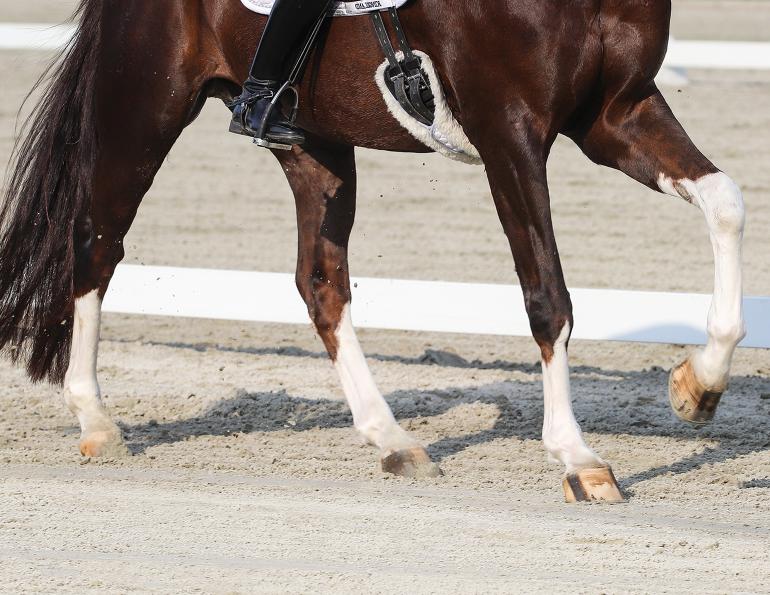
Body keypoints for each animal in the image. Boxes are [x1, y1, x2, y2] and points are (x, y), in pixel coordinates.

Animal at [0, 0, 746, 502]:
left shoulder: (615, 114)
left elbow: (726, 200)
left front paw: (697, 386)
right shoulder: (510, 131)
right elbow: (547, 295)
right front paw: (577, 457)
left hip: (315, 141)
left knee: (320, 282)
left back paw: (393, 440)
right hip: (145, 105)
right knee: (95, 244)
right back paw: (98, 422)